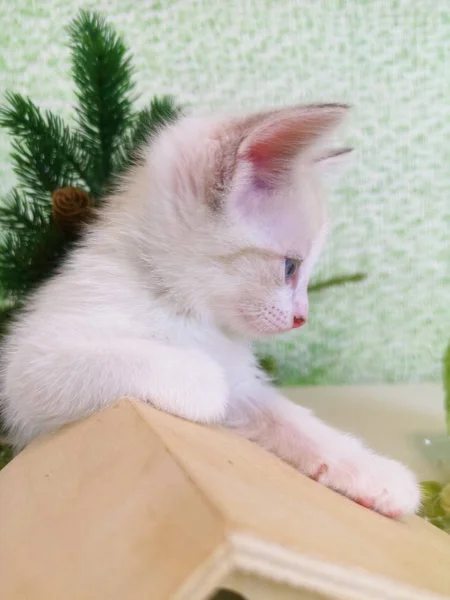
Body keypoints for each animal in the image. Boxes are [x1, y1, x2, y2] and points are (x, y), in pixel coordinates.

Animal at [0, 103, 422, 516]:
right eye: (290, 267)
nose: (302, 317)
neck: (186, 309)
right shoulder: (29, 367)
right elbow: (124, 360)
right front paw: (199, 378)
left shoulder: (243, 382)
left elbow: (290, 419)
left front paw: (372, 470)